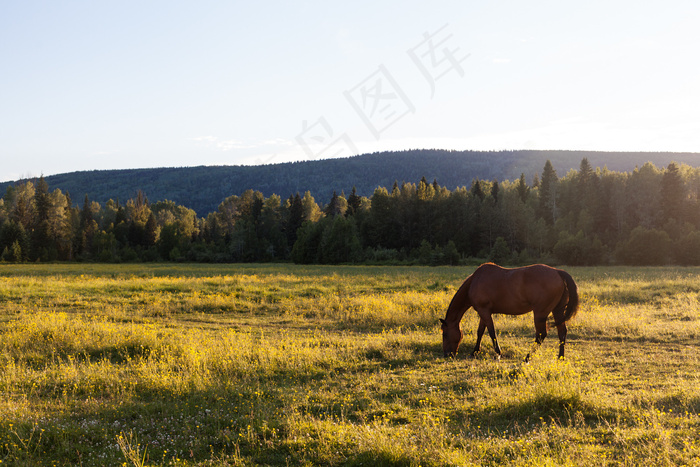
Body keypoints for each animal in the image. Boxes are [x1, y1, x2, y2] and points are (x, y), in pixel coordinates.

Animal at [438, 264, 580, 362]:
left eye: (445, 334)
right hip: (558, 311)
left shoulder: (484, 311)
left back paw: (527, 358)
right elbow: (480, 332)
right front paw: (474, 352)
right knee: (562, 332)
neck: (475, 281)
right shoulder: (483, 312)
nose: (447, 354)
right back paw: (560, 358)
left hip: (540, 313)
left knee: (541, 335)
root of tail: (557, 272)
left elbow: (491, 332)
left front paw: (498, 353)